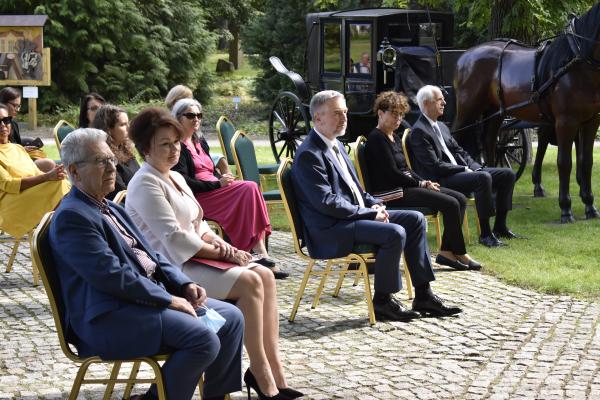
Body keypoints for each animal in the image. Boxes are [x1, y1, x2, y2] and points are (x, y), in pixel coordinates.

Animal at [452, 2, 600, 222]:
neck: (576, 60)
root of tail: (465, 56)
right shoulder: (566, 122)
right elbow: (565, 163)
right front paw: (566, 208)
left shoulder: (590, 121)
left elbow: (586, 162)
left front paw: (590, 205)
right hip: (468, 109)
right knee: (455, 138)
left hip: (495, 112)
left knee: (489, 142)